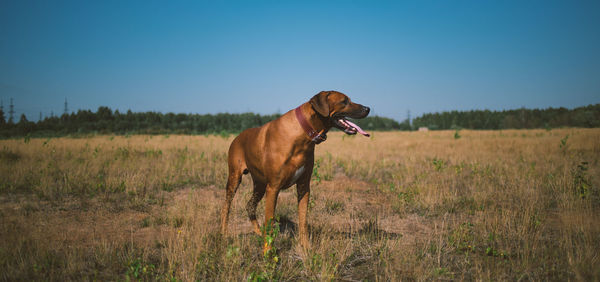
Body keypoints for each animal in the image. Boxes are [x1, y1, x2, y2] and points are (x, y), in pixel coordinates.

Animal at [220, 91, 370, 249]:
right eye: (344, 101)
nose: (368, 109)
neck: (304, 134)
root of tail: (237, 137)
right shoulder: (273, 188)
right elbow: (270, 221)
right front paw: (268, 251)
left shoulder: (303, 186)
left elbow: (303, 221)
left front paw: (306, 247)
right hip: (234, 179)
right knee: (226, 207)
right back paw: (224, 234)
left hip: (260, 184)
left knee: (250, 206)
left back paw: (258, 233)